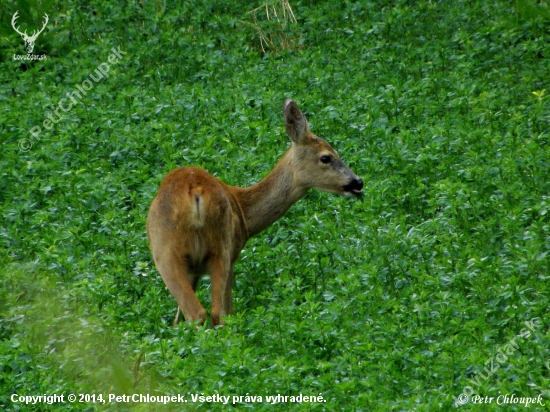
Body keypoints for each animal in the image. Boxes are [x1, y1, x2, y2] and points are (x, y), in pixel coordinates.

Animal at [147, 98, 364, 326]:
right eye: (326, 158)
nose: (357, 182)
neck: (243, 210)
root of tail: (195, 193)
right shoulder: (231, 255)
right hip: (197, 249)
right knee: (212, 313)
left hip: (193, 251)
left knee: (202, 313)